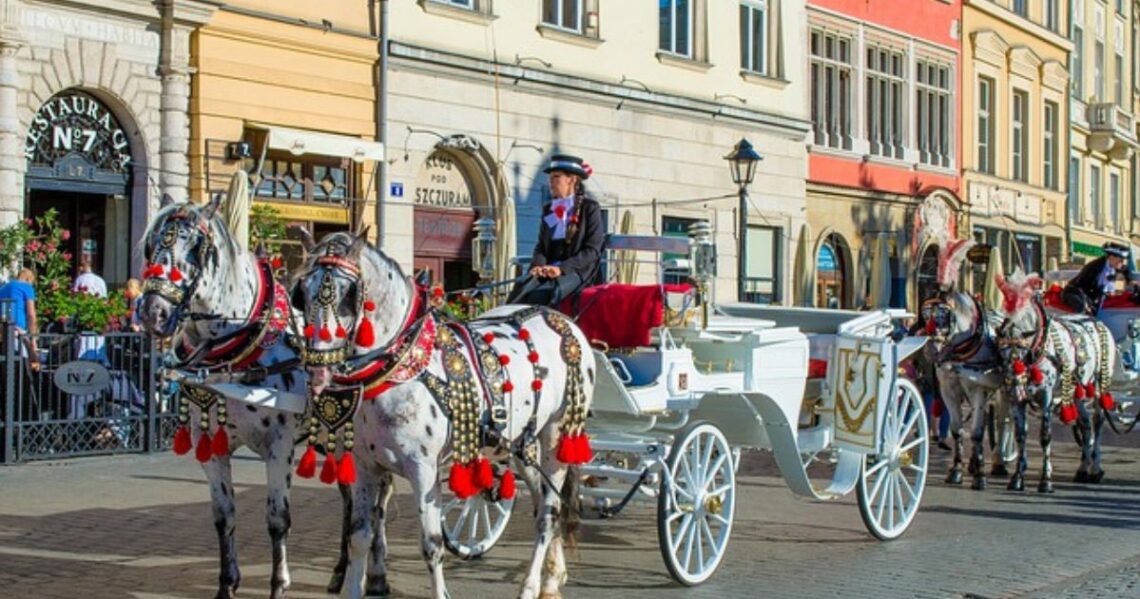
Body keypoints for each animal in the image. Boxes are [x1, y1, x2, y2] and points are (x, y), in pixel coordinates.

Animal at [289, 231, 597, 597]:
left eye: (350, 294)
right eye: (301, 293)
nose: (318, 370)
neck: (399, 366)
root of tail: (565, 322)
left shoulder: (423, 470)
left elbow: (432, 544)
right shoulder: (365, 466)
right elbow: (360, 537)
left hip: (557, 437)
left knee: (549, 513)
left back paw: (531, 586)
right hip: (522, 445)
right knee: (545, 505)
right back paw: (552, 579)